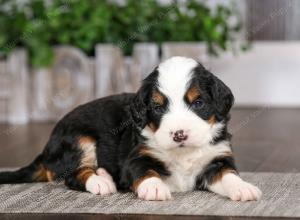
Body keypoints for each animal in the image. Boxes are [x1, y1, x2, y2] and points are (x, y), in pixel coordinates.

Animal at [0, 56, 260, 201]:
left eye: (198, 103)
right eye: (157, 107)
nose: (179, 134)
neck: (183, 153)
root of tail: (45, 151)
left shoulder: (217, 159)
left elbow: (228, 175)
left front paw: (244, 188)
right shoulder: (135, 157)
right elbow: (144, 170)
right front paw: (154, 188)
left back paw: (104, 175)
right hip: (79, 139)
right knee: (73, 175)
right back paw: (101, 182)